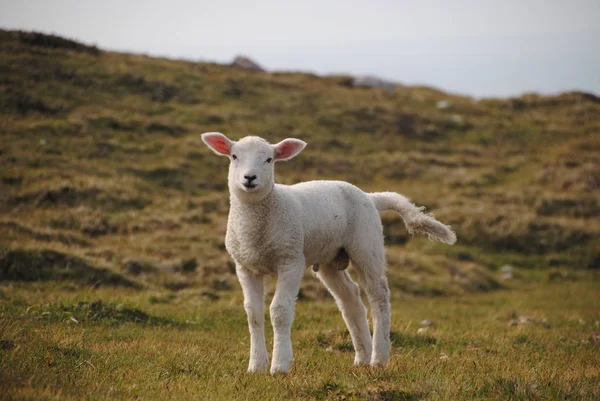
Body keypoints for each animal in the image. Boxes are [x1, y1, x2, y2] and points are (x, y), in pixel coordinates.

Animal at [200, 133, 454, 374]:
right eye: (234, 156)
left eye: (269, 159)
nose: (249, 178)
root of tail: (370, 197)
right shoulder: (245, 266)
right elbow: (253, 314)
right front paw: (256, 366)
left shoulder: (291, 259)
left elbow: (279, 310)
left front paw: (280, 365)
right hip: (331, 260)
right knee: (351, 299)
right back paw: (362, 358)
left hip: (367, 245)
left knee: (379, 297)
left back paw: (378, 358)